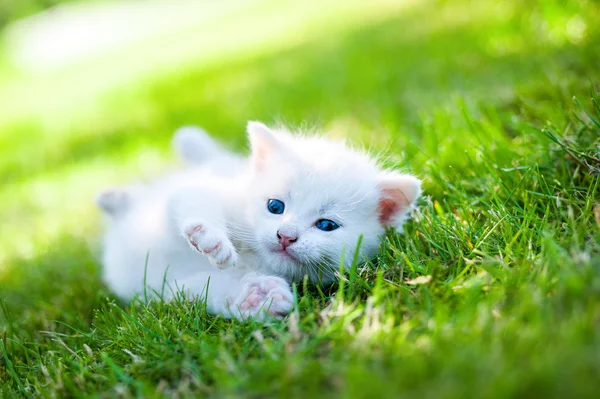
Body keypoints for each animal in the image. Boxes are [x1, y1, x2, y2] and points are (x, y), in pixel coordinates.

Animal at [96, 122, 420, 322]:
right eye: (275, 206)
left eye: (327, 225)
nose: (285, 235)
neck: (252, 258)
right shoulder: (201, 194)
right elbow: (191, 201)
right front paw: (210, 240)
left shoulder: (177, 286)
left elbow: (211, 288)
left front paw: (257, 298)